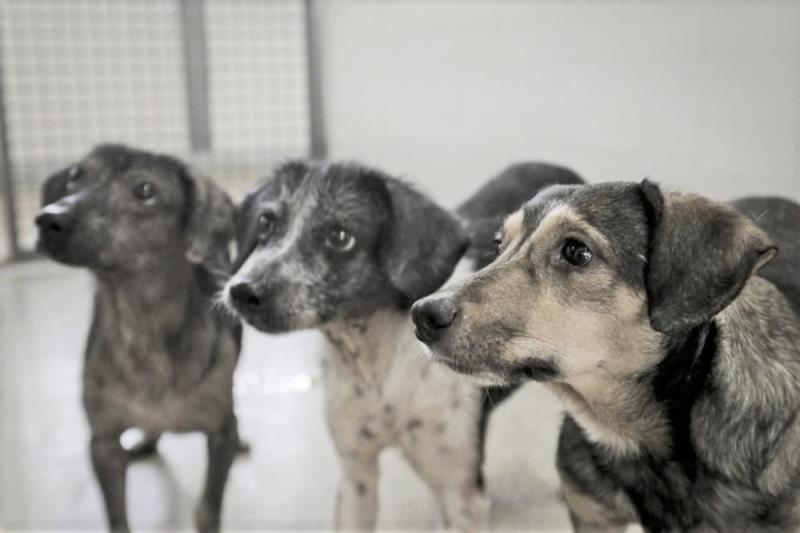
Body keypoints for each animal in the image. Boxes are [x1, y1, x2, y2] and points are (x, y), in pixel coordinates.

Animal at [34, 143, 245, 528]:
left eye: (145, 190)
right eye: (75, 176)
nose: (49, 219)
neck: (141, 329)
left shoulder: (220, 434)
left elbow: (209, 508)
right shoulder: (102, 443)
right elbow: (117, 516)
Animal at [223, 158, 580, 528]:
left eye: (340, 237)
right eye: (265, 222)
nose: (241, 291)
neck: (375, 366)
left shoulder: (462, 495)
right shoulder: (356, 475)